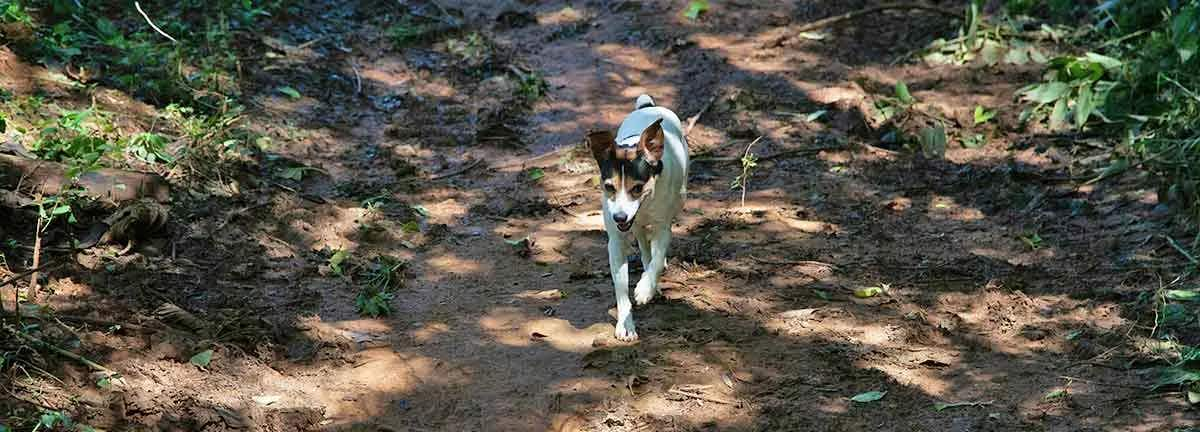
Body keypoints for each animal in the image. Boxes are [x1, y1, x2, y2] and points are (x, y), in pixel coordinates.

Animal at [585, 94, 691, 340]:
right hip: (635, 227)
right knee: (643, 244)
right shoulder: (616, 241)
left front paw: (645, 288)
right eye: (609, 187)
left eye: (637, 188)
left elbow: (657, 260)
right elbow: (621, 288)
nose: (619, 217)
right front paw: (625, 323)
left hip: (679, 198)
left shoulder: (663, 229)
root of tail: (648, 107)